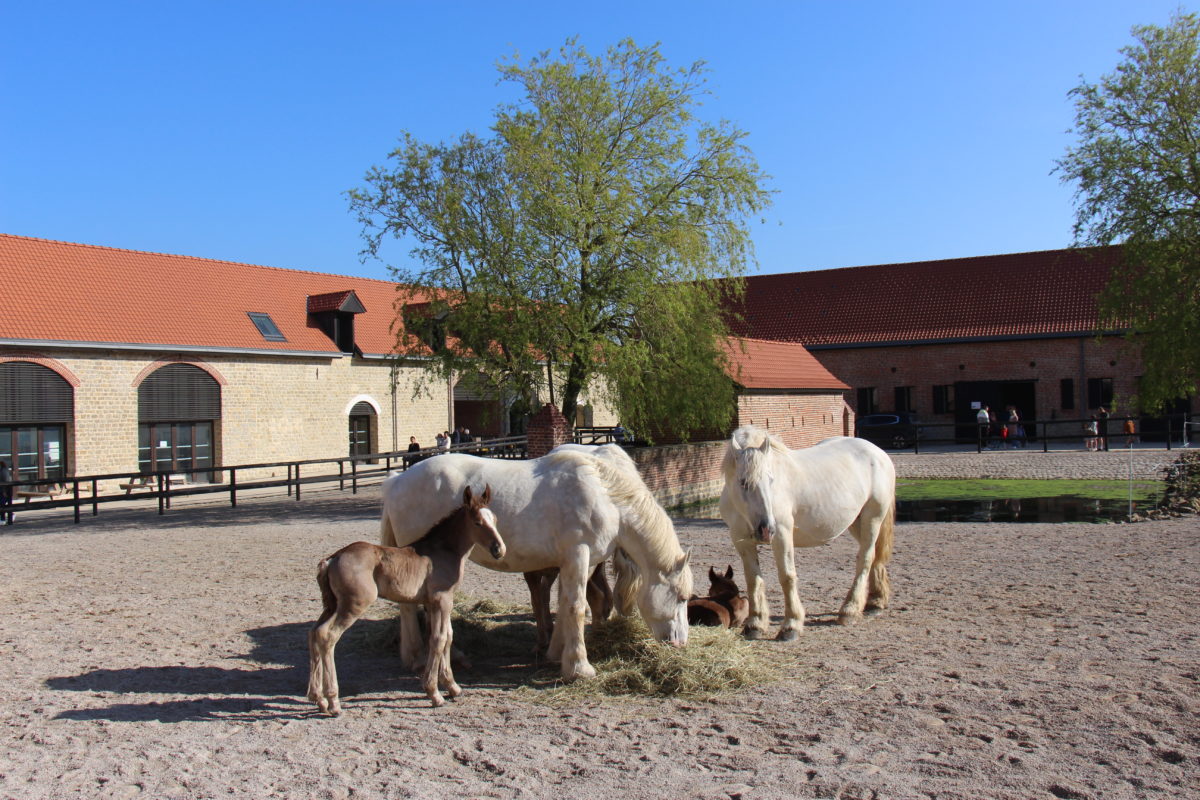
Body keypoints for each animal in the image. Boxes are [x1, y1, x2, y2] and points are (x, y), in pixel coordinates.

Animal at [307, 485, 503, 713]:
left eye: (495, 519)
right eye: (477, 522)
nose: (499, 549)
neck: (444, 550)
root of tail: (332, 559)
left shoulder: (434, 603)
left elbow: (447, 636)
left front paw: (452, 686)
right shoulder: (442, 600)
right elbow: (439, 639)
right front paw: (434, 693)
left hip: (332, 605)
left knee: (315, 633)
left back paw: (318, 698)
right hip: (353, 605)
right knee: (328, 636)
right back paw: (333, 702)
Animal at [380, 449, 693, 681]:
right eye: (682, 597)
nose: (681, 642)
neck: (606, 499)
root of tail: (396, 482)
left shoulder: (575, 563)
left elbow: (565, 604)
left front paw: (556, 653)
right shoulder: (578, 555)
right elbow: (577, 607)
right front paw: (579, 667)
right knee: (412, 606)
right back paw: (420, 657)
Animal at [719, 426, 896, 640]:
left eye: (771, 480)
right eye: (743, 482)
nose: (767, 529)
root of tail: (878, 452)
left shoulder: (782, 534)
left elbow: (787, 577)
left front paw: (791, 625)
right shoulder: (741, 540)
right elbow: (753, 580)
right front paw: (756, 624)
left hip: (873, 518)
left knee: (866, 559)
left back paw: (850, 610)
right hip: (857, 522)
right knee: (875, 556)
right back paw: (875, 603)